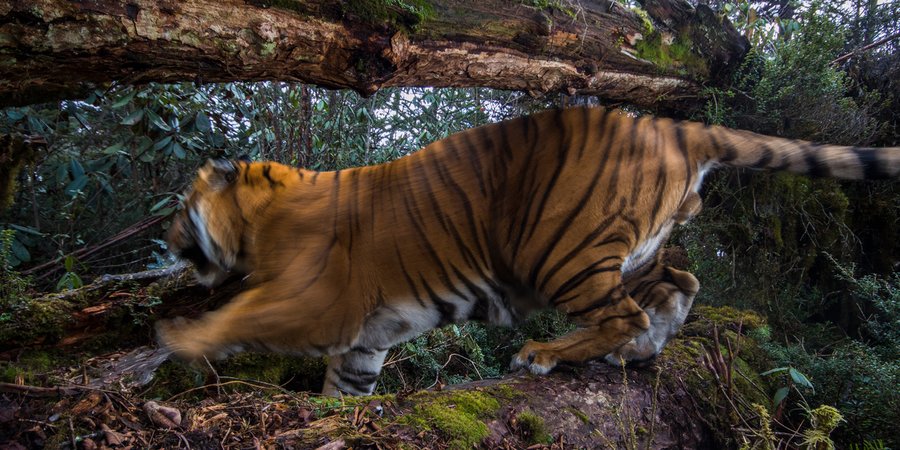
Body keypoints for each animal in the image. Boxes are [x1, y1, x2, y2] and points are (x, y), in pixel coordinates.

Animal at [157, 106, 899, 396]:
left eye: (178, 209)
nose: (165, 240)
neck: (258, 217)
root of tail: (671, 126)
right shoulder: (364, 338)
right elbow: (346, 387)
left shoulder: (317, 305)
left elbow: (238, 317)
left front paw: (175, 339)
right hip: (634, 246)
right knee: (678, 286)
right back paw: (638, 352)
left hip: (560, 247)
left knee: (625, 312)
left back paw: (543, 354)